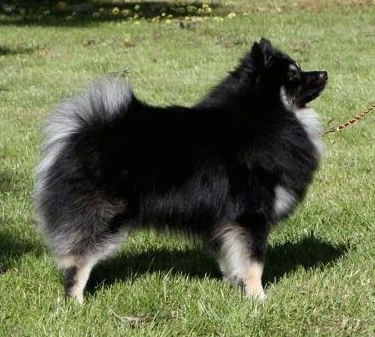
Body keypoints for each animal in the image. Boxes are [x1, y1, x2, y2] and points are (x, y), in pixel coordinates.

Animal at [35, 37, 328, 302]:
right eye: (294, 74)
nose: (324, 73)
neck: (263, 118)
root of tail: (78, 132)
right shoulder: (249, 217)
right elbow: (254, 262)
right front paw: (259, 298)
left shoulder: (224, 223)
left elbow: (231, 259)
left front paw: (235, 286)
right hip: (103, 216)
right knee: (77, 261)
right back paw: (76, 302)